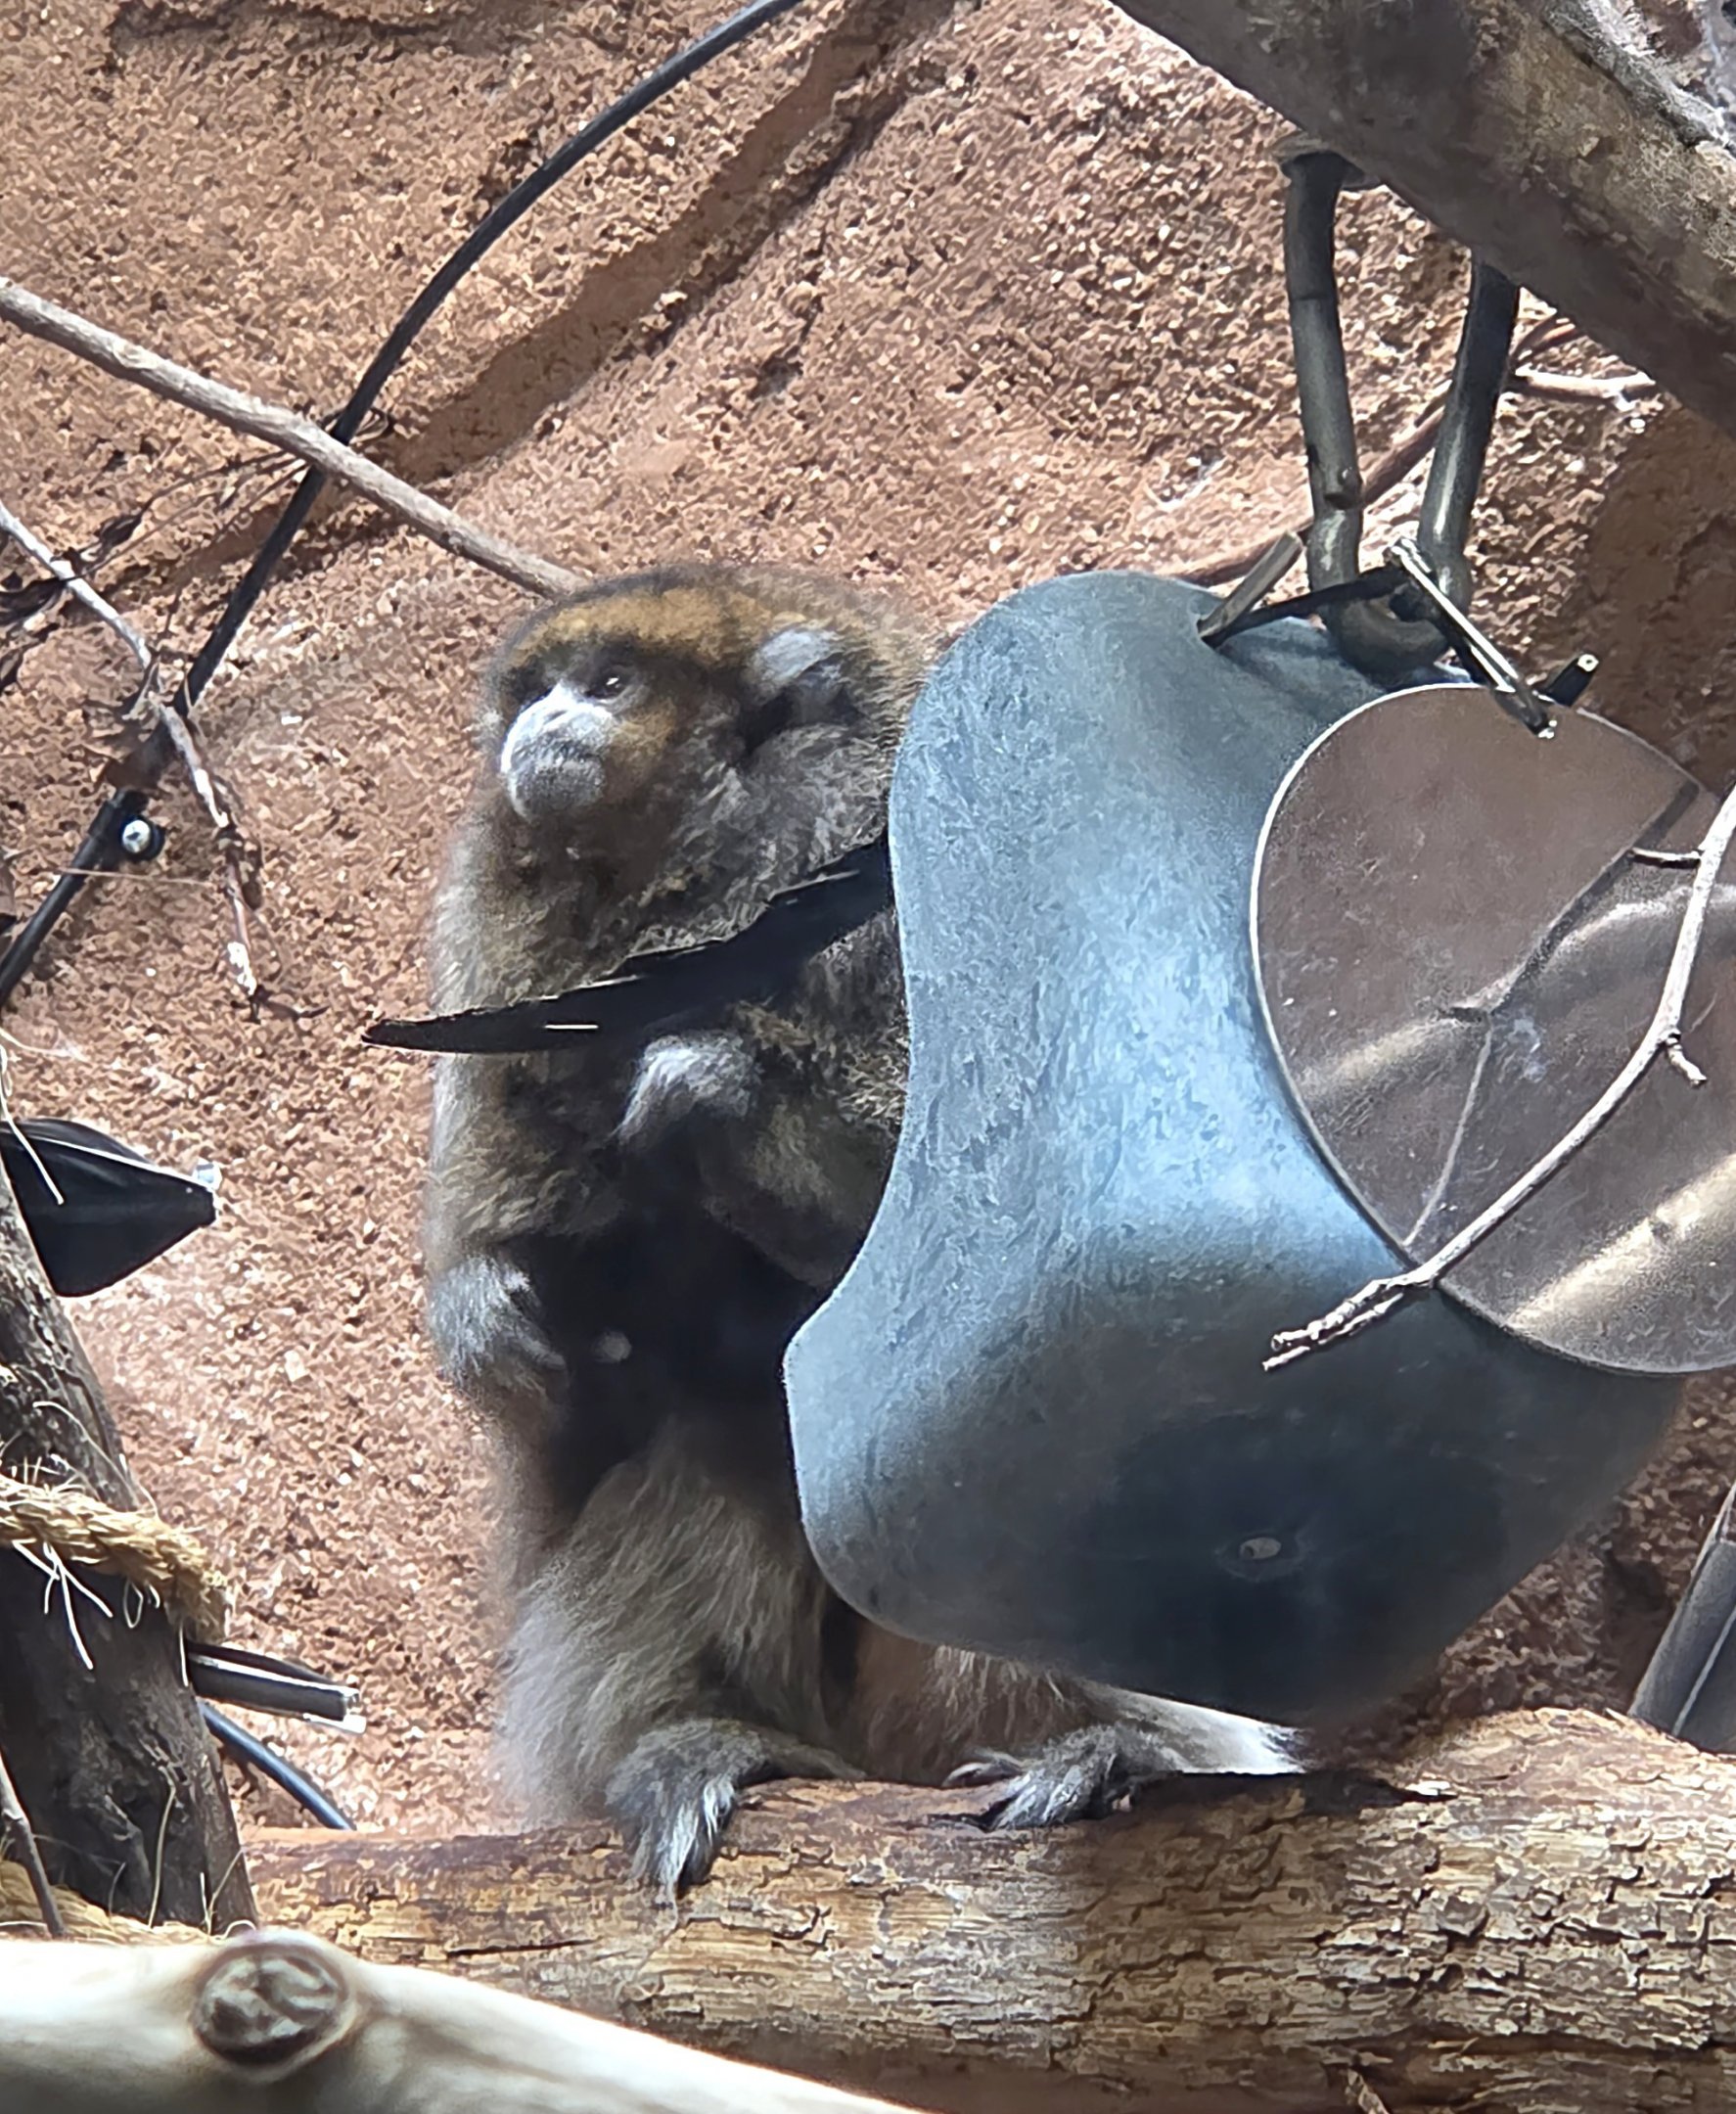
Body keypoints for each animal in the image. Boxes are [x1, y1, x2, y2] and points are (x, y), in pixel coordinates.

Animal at [424, 563, 1297, 1898]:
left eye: (608, 684)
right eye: (535, 690)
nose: (542, 724)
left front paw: (713, 1090)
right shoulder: (499, 975)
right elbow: (546, 1345)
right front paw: (490, 1313)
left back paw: (1107, 1743)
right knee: (723, 1424)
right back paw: (700, 1737)